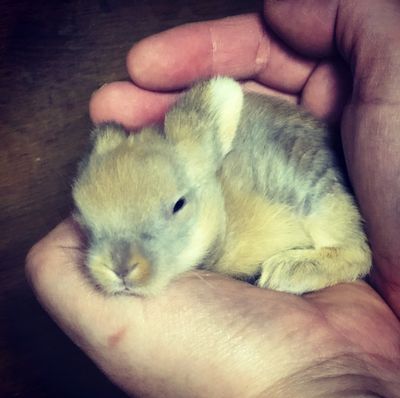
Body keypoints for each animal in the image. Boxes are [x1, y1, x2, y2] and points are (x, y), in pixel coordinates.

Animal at [72, 77, 372, 296]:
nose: (120, 268)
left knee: (357, 253)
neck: (224, 207)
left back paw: (287, 272)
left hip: (320, 197)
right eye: (84, 217)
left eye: (179, 204)